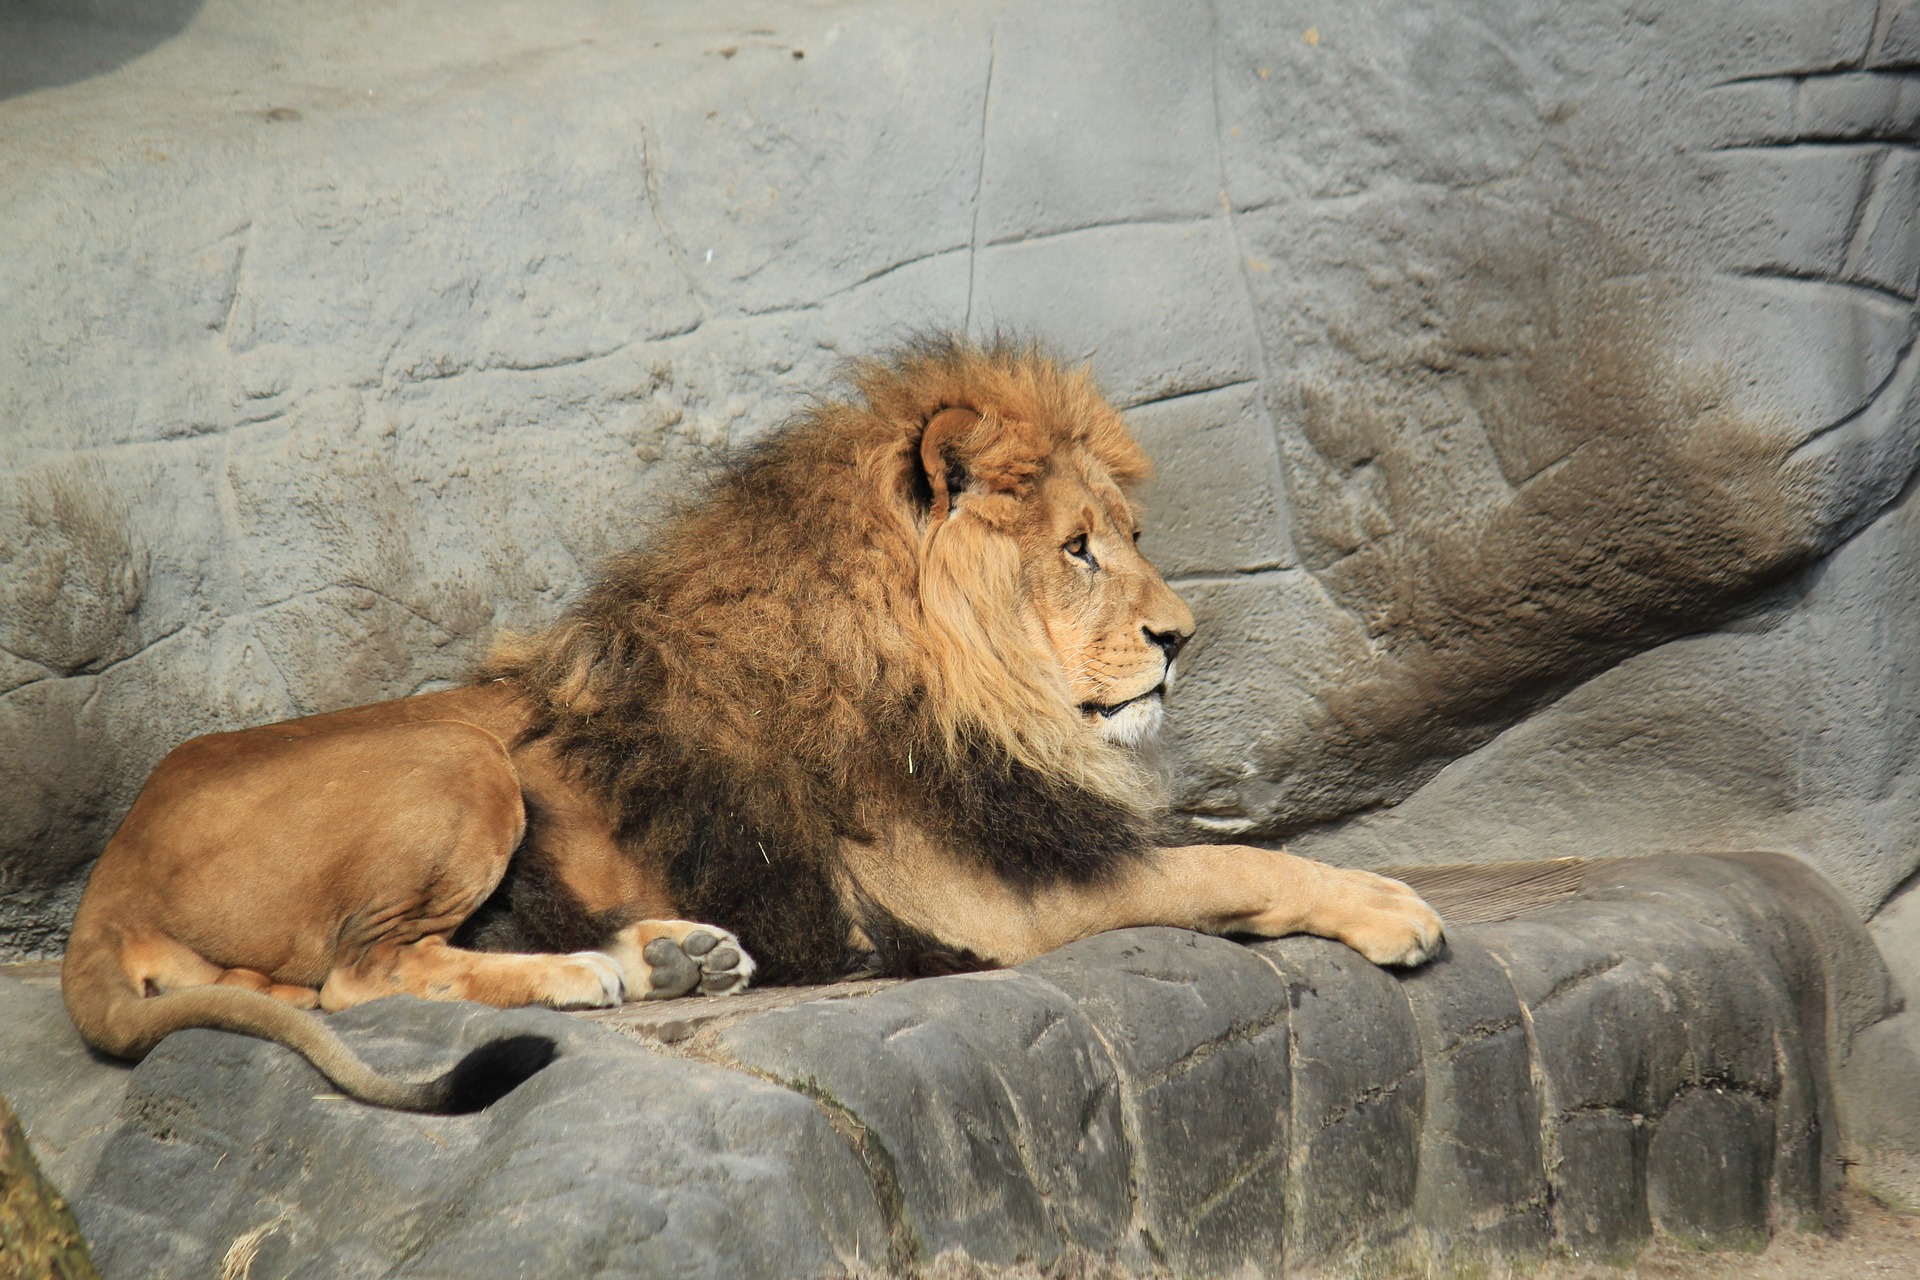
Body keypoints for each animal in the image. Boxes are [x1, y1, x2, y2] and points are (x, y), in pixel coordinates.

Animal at [63, 337, 1443, 1113]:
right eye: (1077, 549)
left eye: (1134, 535)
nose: (1183, 636)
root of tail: (107, 873)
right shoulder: (992, 897)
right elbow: (1226, 864)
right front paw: (1392, 905)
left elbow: (1229, 846)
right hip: (457, 758)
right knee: (359, 971)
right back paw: (595, 971)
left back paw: (672, 954)